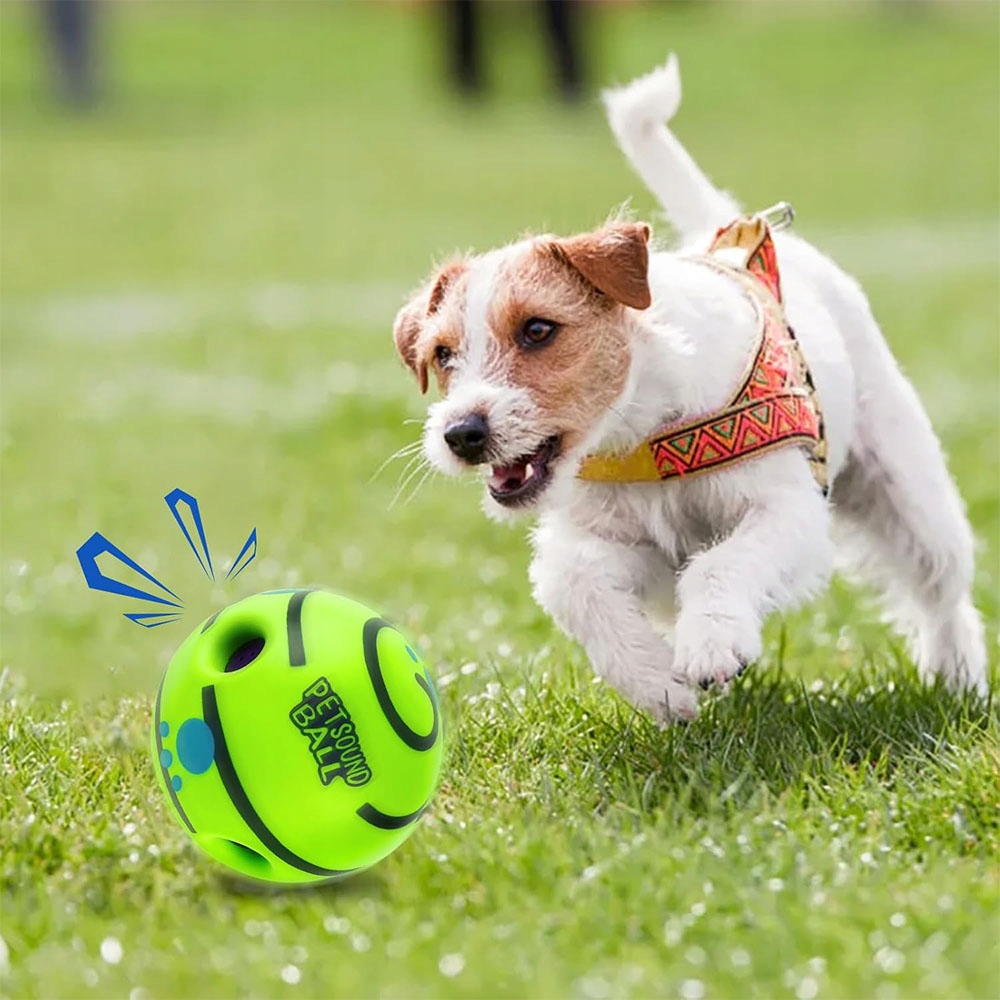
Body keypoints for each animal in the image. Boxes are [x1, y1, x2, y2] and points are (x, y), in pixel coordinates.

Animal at [391, 55, 987, 721]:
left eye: (538, 329)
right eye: (442, 354)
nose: (461, 434)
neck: (644, 431)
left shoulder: (787, 511)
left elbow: (719, 566)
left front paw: (712, 646)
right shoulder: (621, 545)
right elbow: (573, 585)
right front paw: (658, 683)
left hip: (909, 491)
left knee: (942, 590)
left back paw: (958, 677)